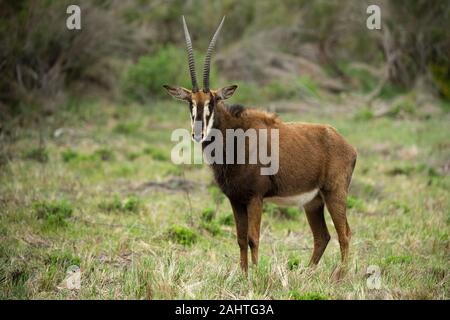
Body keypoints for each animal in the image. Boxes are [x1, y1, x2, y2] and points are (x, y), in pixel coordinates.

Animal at [163, 16, 356, 278]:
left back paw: (339, 277)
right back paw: (306, 274)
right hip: (313, 202)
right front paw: (244, 275)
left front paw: (256, 276)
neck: (236, 138)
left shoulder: (255, 198)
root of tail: (345, 144)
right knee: (322, 236)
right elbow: (240, 239)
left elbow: (253, 238)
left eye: (212, 102)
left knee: (344, 233)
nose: (198, 133)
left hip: (335, 192)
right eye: (190, 103)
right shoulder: (235, 199)